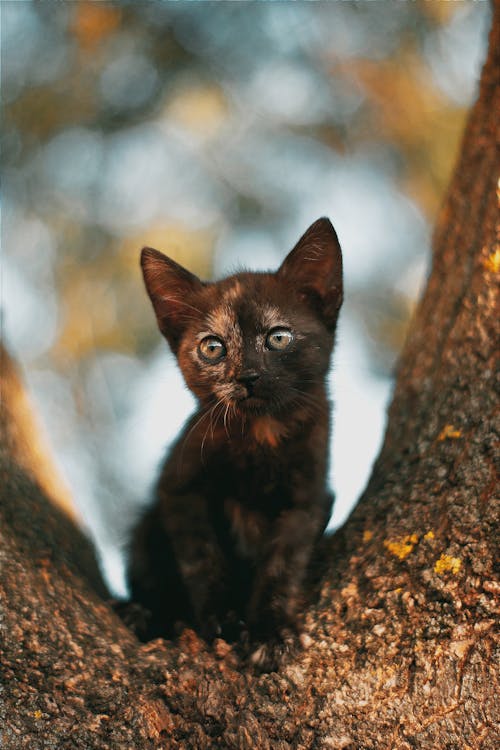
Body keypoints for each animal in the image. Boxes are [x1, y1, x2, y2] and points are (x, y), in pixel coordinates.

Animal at [127, 217, 342, 668]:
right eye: (212, 347)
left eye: (278, 338)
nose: (247, 376)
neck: (260, 435)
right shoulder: (180, 488)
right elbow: (202, 559)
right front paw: (222, 619)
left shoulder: (308, 501)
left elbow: (281, 565)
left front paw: (270, 633)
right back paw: (145, 615)